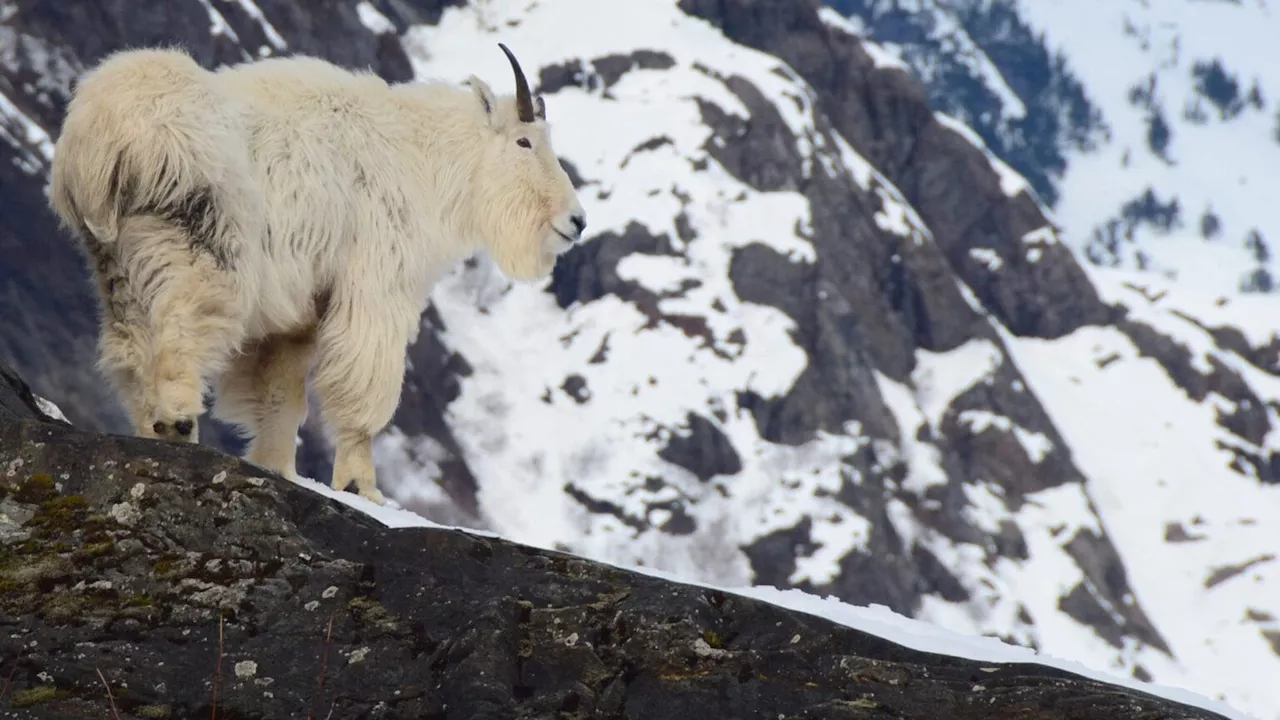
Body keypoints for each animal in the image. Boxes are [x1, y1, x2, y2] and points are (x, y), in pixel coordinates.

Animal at [47, 43, 586, 504]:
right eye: (524, 141)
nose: (576, 221)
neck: (422, 160)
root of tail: (100, 132)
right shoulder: (375, 284)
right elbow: (363, 388)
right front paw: (362, 486)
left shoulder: (301, 310)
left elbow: (281, 392)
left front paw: (278, 468)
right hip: (199, 238)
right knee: (182, 325)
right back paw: (177, 423)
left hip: (115, 260)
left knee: (128, 348)